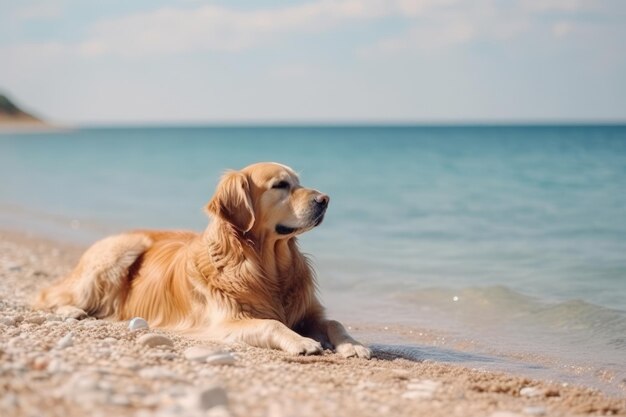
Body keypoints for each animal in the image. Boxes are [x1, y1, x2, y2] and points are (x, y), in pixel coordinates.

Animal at [35, 162, 370, 358]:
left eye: (299, 182)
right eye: (280, 185)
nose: (325, 199)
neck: (265, 264)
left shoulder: (308, 311)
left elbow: (335, 321)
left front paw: (353, 344)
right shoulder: (224, 322)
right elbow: (271, 324)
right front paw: (301, 341)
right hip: (117, 251)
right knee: (47, 295)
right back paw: (71, 311)